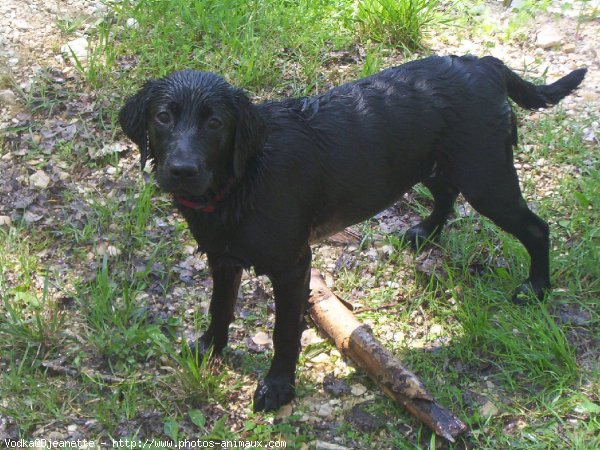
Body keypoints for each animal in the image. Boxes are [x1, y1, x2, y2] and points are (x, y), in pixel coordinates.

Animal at [120, 55, 584, 412]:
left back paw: (537, 287)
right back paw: (426, 232)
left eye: (215, 123)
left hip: (486, 178)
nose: (182, 171)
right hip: (431, 165)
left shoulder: (292, 265)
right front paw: (209, 350)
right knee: (446, 193)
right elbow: (220, 308)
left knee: (536, 228)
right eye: (163, 117)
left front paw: (278, 387)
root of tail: (485, 64)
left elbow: (284, 332)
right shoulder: (223, 258)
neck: (242, 177)